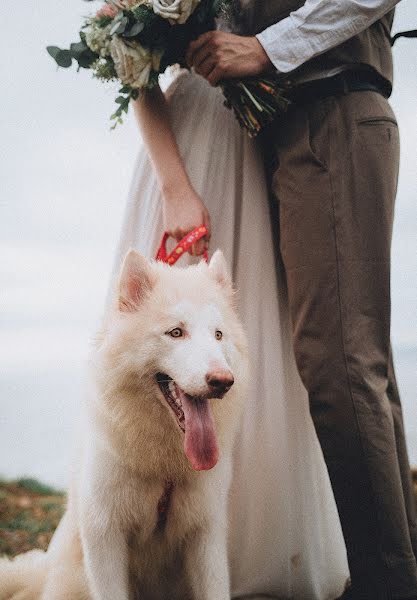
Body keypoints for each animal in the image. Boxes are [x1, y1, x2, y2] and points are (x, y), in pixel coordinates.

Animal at [0, 248, 247, 600]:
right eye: (176, 332)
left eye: (218, 335)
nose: (223, 381)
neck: (165, 465)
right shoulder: (104, 535)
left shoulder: (205, 534)